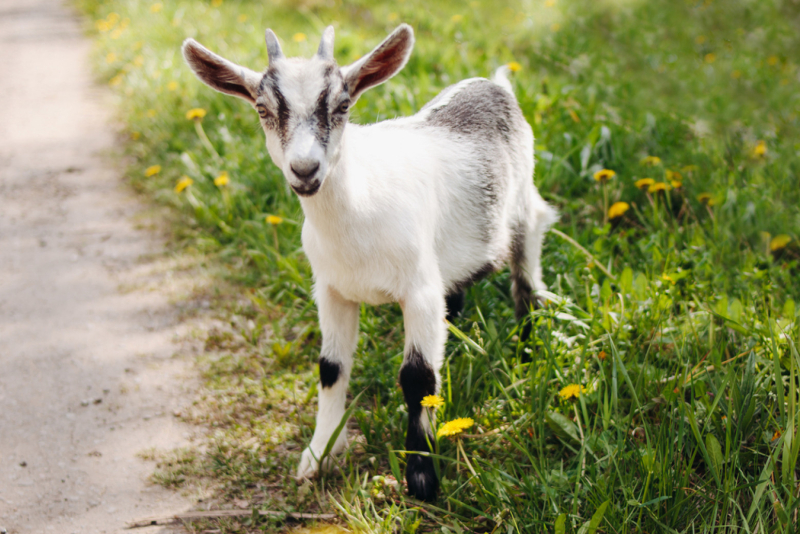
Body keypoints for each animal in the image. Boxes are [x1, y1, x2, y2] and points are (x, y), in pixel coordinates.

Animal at [182, 23, 557, 501]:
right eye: (263, 110)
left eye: (342, 105)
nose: (305, 169)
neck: (359, 211)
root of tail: (494, 84)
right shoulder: (331, 290)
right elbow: (331, 368)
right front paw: (319, 455)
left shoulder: (418, 290)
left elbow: (417, 377)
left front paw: (422, 477)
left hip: (524, 212)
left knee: (526, 286)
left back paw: (527, 352)